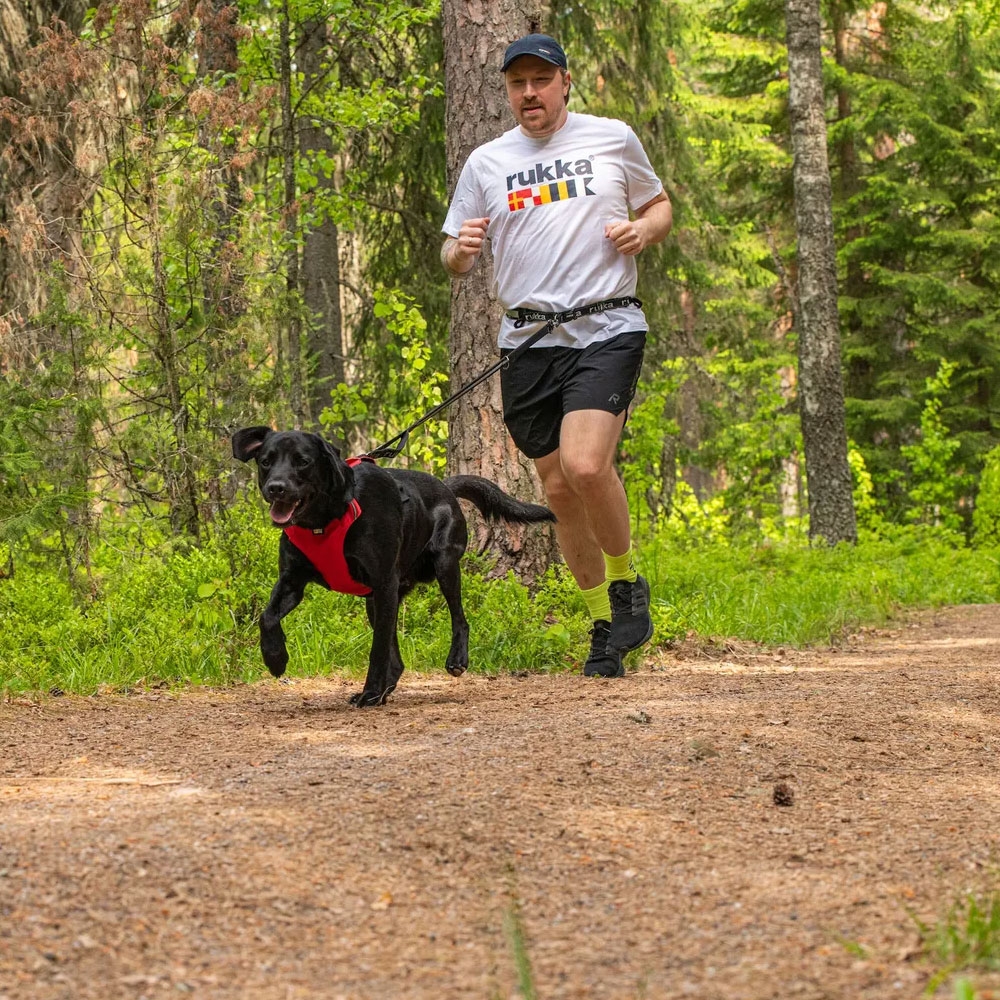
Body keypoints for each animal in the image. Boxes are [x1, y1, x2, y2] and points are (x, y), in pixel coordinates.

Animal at [232, 426, 556, 708]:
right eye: (265, 461)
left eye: (302, 461)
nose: (276, 488)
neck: (323, 521)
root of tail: (444, 485)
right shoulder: (291, 582)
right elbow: (267, 617)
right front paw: (275, 657)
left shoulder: (384, 584)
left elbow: (377, 651)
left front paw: (370, 692)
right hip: (376, 601)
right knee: (397, 660)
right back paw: (384, 691)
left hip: (443, 565)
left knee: (458, 618)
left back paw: (453, 661)